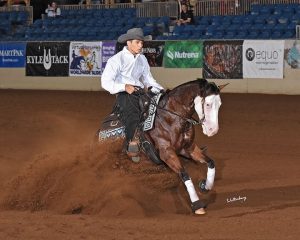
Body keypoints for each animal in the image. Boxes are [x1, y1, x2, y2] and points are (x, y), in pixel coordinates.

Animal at [98, 79, 227, 216]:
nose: (212, 130)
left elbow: (210, 162)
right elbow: (184, 174)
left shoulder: (188, 148)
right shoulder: (166, 153)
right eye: (207, 104)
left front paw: (205, 185)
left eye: (219, 104)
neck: (171, 118)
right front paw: (197, 206)